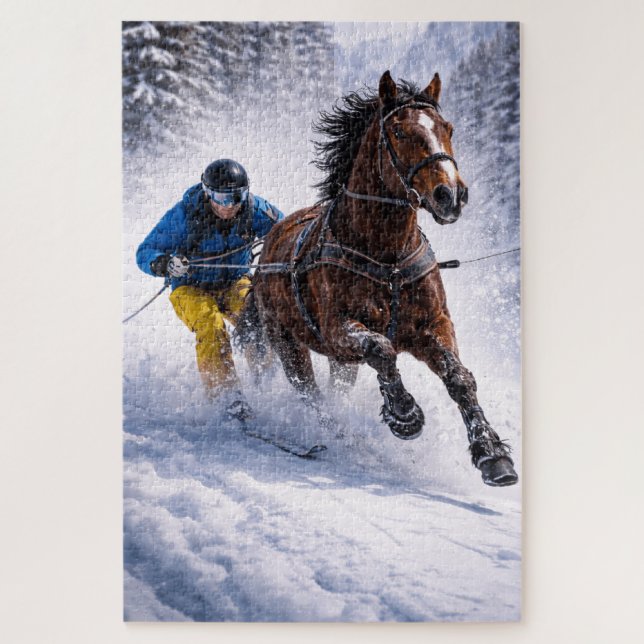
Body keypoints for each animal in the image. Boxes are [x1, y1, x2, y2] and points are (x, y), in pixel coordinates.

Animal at [240, 71, 518, 487]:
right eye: (400, 132)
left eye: (448, 128)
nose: (451, 195)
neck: (388, 259)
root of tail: (270, 245)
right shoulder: (338, 329)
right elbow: (382, 350)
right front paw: (404, 414)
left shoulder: (432, 325)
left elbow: (459, 378)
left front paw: (493, 455)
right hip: (287, 342)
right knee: (311, 395)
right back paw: (342, 438)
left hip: (340, 361)